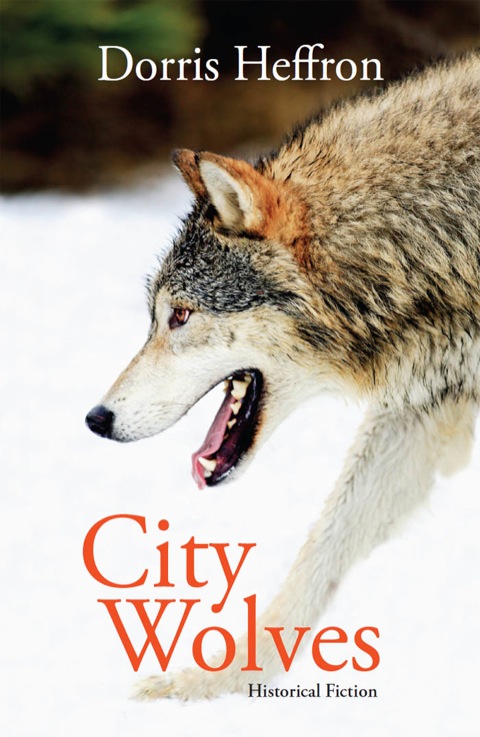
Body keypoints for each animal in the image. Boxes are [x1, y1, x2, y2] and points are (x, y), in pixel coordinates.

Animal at [86, 52, 480, 699]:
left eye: (180, 315)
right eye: (155, 316)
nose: (96, 419)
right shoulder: (422, 408)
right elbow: (321, 553)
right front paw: (210, 685)